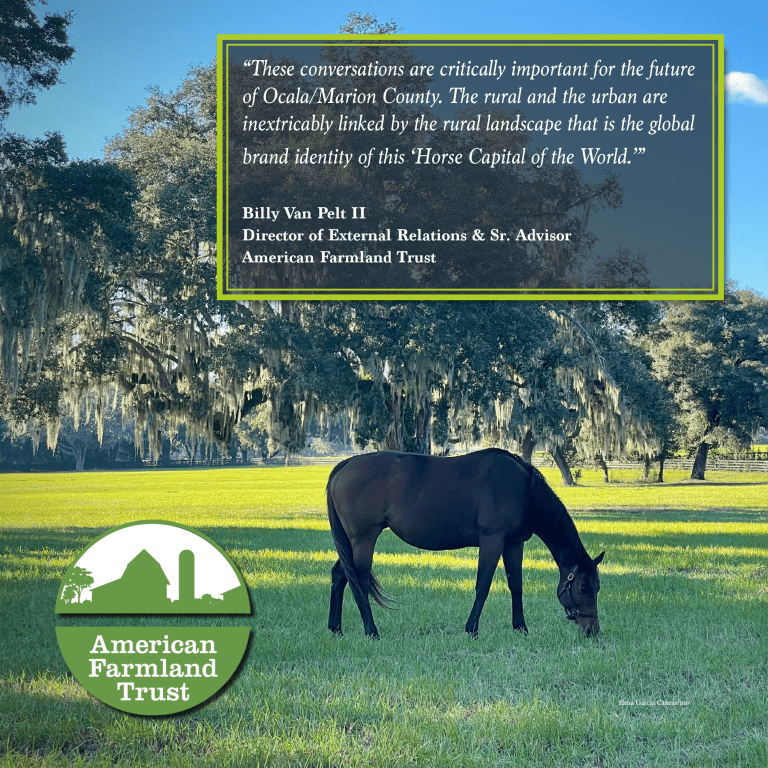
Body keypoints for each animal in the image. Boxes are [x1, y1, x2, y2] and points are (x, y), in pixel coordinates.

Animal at [326, 448, 604, 638]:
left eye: (597, 588)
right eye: (583, 587)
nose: (592, 629)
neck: (525, 489)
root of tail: (346, 464)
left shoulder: (513, 544)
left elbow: (516, 586)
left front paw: (520, 628)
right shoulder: (492, 540)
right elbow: (483, 586)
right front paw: (472, 629)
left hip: (352, 542)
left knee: (340, 575)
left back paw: (336, 628)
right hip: (363, 539)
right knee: (358, 581)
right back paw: (371, 630)